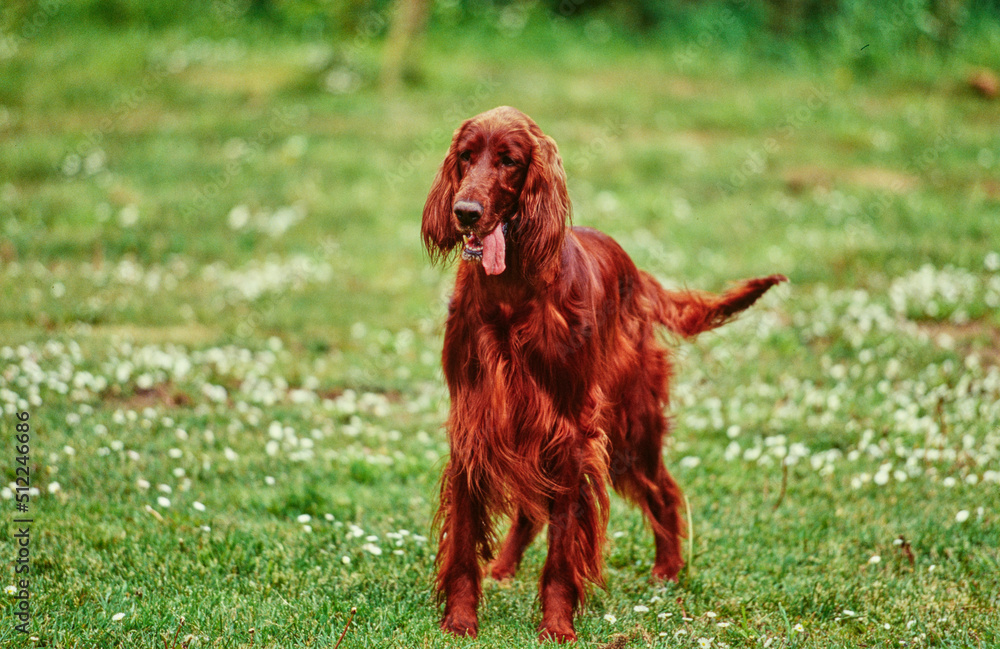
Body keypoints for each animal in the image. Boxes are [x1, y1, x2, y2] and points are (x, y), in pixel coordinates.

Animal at [418, 104, 784, 640]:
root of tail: (636, 271)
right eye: (466, 156)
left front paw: (556, 626)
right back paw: (503, 568)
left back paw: (667, 571)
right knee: (532, 511)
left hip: (631, 425)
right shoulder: (475, 420)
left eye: (509, 161)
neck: (510, 293)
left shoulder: (571, 431)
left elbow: (564, 546)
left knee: (664, 491)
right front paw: (461, 620)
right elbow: (465, 537)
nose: (465, 211)